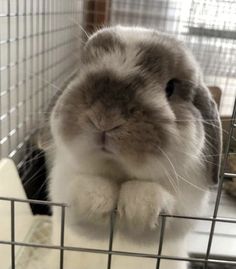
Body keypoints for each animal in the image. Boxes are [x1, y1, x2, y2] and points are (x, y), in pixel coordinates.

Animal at [43, 25, 222, 268]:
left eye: (171, 88)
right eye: (82, 71)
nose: (106, 118)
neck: (119, 173)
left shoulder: (186, 208)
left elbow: (158, 206)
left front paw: (141, 207)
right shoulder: (62, 190)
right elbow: (83, 197)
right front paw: (95, 199)